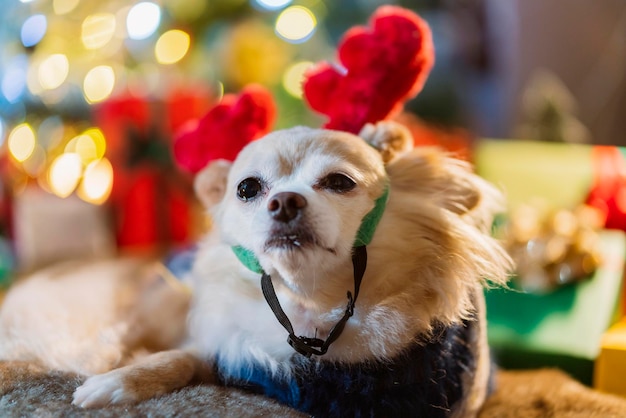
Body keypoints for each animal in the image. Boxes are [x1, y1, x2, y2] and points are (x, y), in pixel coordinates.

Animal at [0, 120, 508, 414]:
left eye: (340, 182)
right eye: (247, 188)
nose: (284, 201)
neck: (313, 308)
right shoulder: (225, 345)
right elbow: (180, 356)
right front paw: (118, 382)